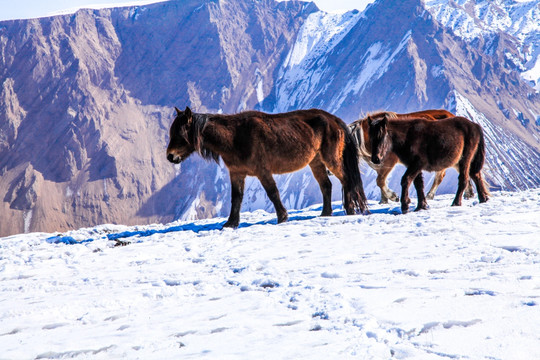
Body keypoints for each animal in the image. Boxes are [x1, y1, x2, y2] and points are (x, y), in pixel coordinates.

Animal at [167, 105, 370, 228]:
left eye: (180, 133)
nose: (170, 156)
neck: (236, 137)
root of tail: (333, 119)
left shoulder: (262, 172)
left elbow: (273, 193)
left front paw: (282, 217)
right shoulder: (237, 173)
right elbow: (236, 198)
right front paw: (231, 223)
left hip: (331, 160)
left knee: (347, 181)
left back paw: (350, 210)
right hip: (316, 162)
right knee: (326, 185)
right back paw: (325, 214)